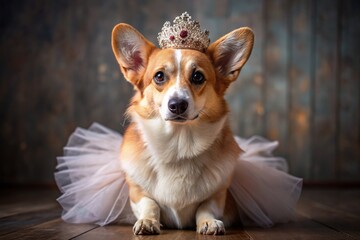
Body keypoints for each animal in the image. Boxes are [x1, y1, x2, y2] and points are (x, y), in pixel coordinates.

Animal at [111, 13, 255, 234]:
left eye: (197, 76)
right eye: (159, 76)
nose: (177, 104)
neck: (178, 145)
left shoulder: (219, 194)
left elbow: (206, 207)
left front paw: (209, 222)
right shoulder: (136, 191)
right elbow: (150, 203)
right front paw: (147, 222)